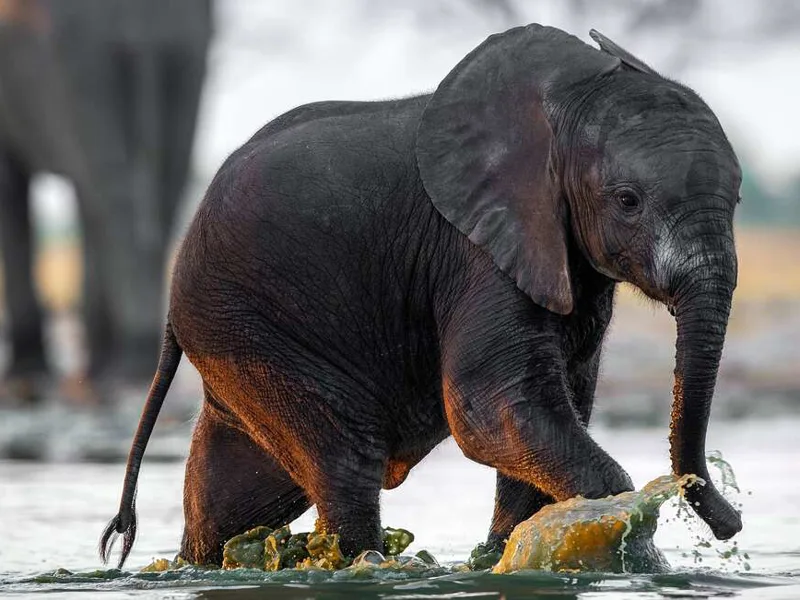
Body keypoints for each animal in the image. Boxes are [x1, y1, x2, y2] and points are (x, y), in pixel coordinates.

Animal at [100, 24, 743, 568]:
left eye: (737, 200)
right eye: (628, 200)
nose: (730, 522)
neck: (564, 104)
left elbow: (554, 403)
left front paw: (501, 557)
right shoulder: (476, 250)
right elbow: (493, 406)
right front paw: (632, 550)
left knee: (240, 490)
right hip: (245, 322)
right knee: (344, 463)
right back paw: (357, 561)